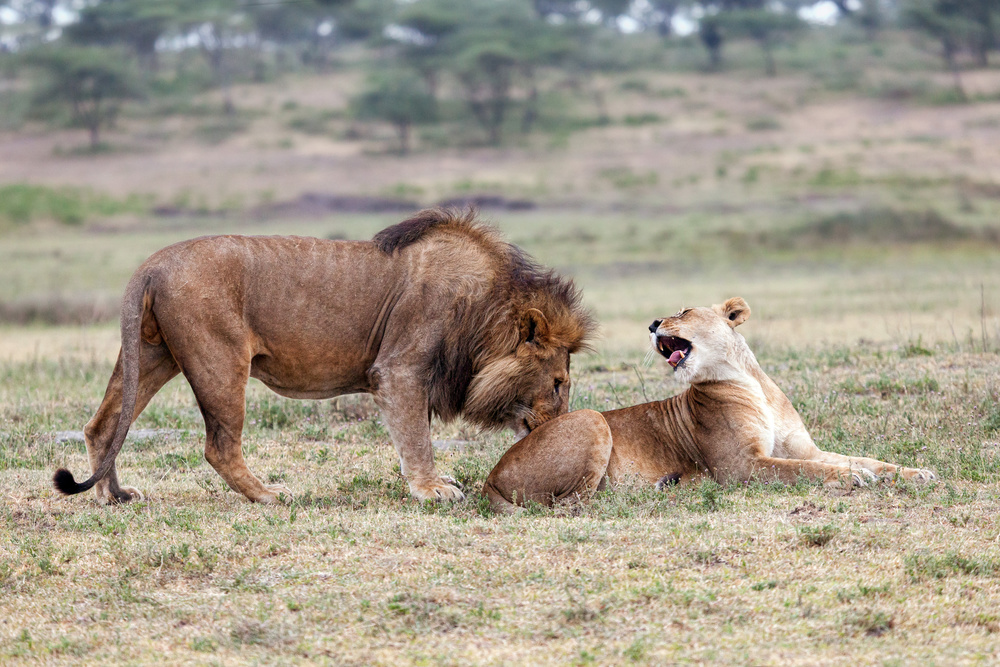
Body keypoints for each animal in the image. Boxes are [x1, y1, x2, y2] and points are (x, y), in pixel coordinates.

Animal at [52, 211, 592, 504]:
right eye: (559, 382)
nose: (560, 427)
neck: (485, 310)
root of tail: (151, 264)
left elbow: (417, 434)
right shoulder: (399, 368)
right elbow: (417, 438)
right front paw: (431, 489)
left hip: (153, 354)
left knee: (102, 425)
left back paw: (113, 496)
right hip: (219, 360)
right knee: (219, 446)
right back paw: (269, 495)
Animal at [484, 298, 936, 512]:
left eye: (682, 311)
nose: (652, 324)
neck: (750, 382)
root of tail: (491, 476)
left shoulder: (806, 448)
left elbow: (868, 460)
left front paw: (916, 473)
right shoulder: (740, 467)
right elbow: (800, 471)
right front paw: (850, 478)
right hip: (593, 421)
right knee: (574, 504)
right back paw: (668, 489)